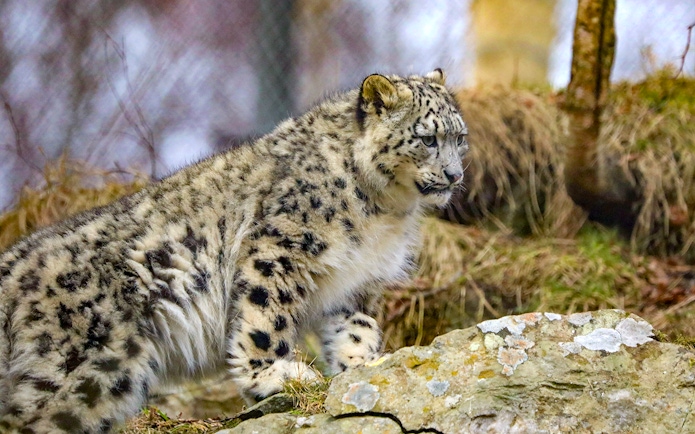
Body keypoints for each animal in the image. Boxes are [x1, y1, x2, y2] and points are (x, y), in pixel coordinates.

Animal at [0, 69, 468, 433]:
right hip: (83, 366)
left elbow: (357, 327)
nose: (454, 174)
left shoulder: (355, 282)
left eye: (460, 137)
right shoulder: (280, 247)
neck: (384, 210)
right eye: (428, 138)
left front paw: (359, 366)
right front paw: (271, 375)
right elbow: (266, 318)